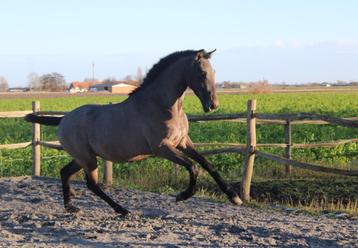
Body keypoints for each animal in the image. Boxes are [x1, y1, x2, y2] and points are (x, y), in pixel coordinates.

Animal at [25, 49, 243, 215]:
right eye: (202, 73)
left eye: (214, 71)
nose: (213, 105)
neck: (163, 106)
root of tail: (63, 119)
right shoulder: (162, 148)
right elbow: (193, 167)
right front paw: (182, 196)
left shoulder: (183, 143)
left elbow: (207, 164)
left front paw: (234, 197)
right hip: (87, 158)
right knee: (92, 185)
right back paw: (122, 210)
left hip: (83, 158)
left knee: (65, 173)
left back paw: (71, 207)